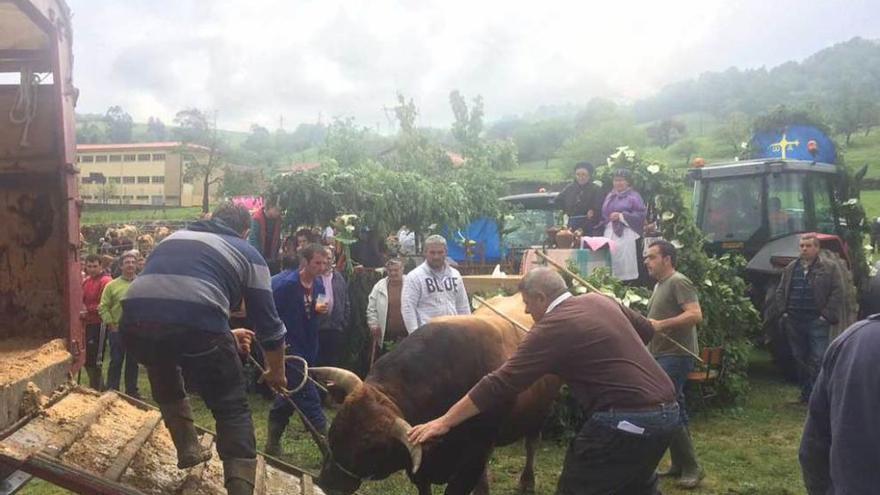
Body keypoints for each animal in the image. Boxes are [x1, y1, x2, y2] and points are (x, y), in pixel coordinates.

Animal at [312, 294, 556, 495]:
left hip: (539, 415)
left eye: (371, 447)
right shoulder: (423, 471)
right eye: (334, 429)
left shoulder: (473, 458)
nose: (328, 483)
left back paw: (527, 483)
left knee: (532, 444)